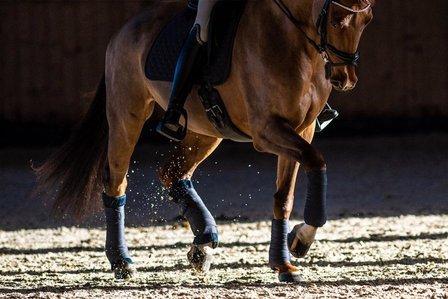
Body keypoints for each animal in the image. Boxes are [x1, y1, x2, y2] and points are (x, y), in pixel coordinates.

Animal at [35, 0, 372, 284]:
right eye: (337, 19)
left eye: (366, 20)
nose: (345, 79)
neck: (293, 40)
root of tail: (123, 30)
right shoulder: (268, 131)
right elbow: (316, 160)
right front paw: (299, 241)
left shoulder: (302, 130)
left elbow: (285, 196)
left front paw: (286, 258)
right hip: (126, 114)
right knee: (115, 181)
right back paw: (122, 261)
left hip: (206, 131)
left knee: (173, 173)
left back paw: (204, 241)